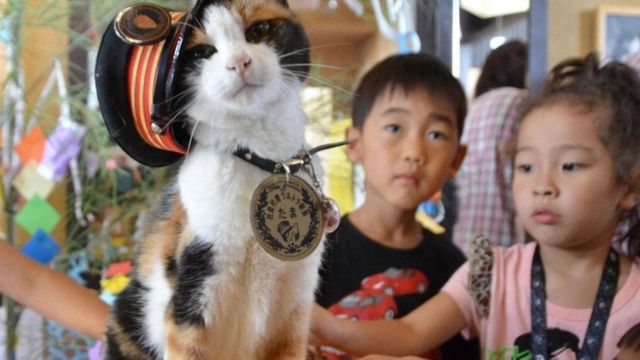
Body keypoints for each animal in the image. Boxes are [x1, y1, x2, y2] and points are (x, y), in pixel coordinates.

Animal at [100, 0, 324, 360]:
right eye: (202, 52)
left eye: (259, 29)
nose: (239, 62)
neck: (267, 160)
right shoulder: (193, 290)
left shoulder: (295, 308)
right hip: (131, 311)